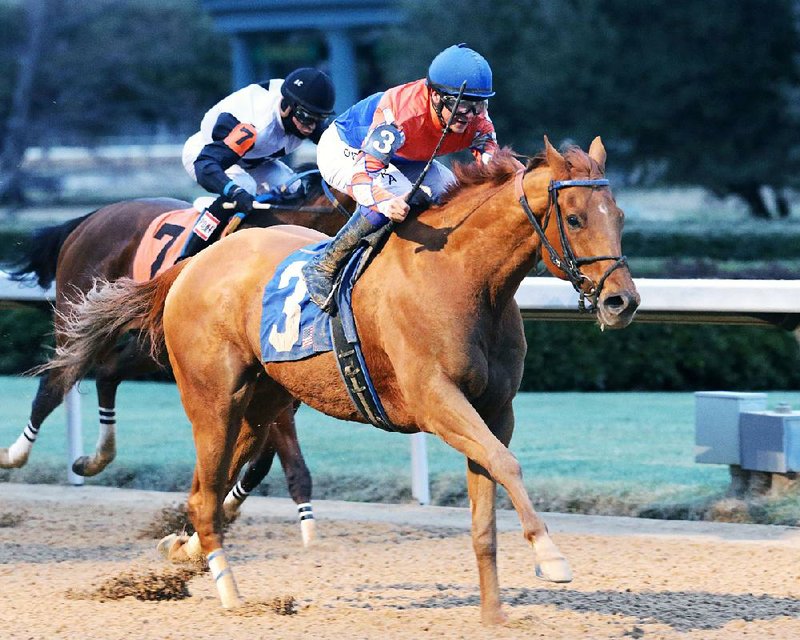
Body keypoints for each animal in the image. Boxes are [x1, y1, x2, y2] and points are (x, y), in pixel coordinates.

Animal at [3, 185, 346, 544]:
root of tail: (90, 218)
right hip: (80, 315)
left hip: (151, 341)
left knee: (108, 373)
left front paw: (228, 505)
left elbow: (261, 459)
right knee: (55, 383)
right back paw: (15, 453)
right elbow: (277, 454)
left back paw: (97, 457)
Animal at [45, 138, 644, 624]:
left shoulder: (495, 409)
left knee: (204, 493)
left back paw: (183, 550)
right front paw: (552, 557)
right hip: (212, 399)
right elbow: (508, 464)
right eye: (574, 217)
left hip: (259, 404)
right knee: (204, 492)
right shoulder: (435, 400)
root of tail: (191, 266)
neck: (464, 278)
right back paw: (232, 596)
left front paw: (495, 614)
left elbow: (487, 504)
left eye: (617, 214)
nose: (622, 301)